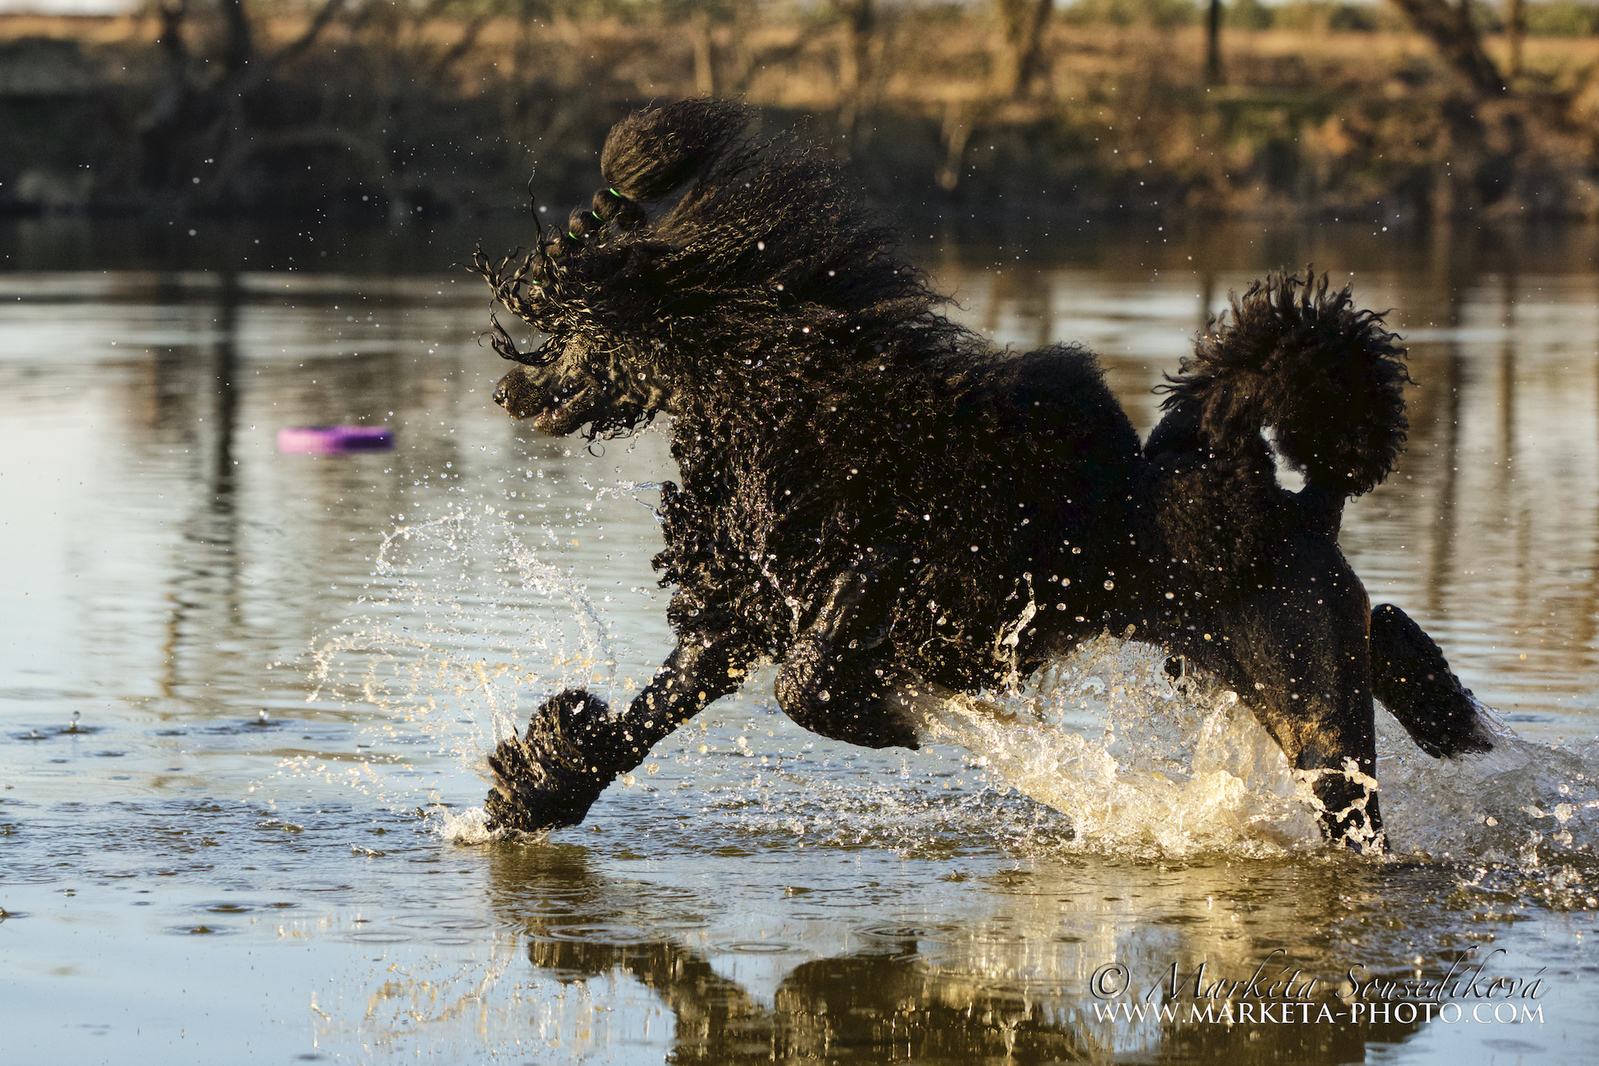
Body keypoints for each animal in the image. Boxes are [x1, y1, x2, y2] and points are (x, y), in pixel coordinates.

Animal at [472, 99, 1492, 849]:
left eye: (569, 321)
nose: (507, 390)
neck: (779, 392)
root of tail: (1302, 508)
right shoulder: (739, 615)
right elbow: (653, 710)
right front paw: (535, 787)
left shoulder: (894, 563)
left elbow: (808, 676)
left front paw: (880, 719)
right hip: (1248, 661)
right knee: (1384, 632)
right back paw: (1442, 705)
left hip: (1307, 702)